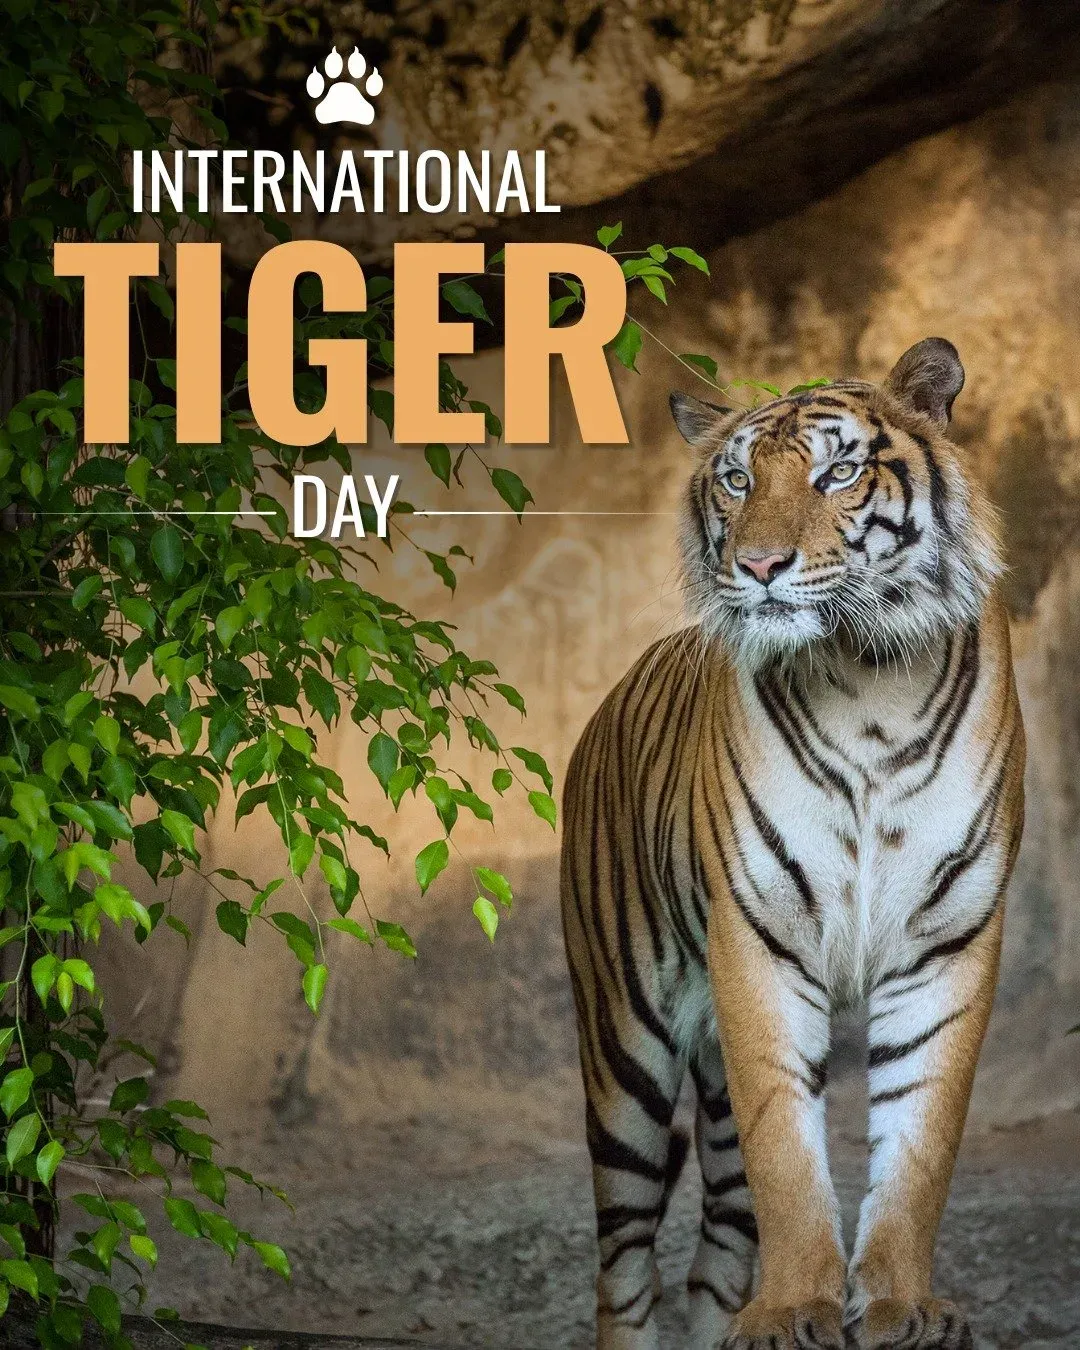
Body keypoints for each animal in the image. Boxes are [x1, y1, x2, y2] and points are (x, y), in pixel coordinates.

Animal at [560, 339, 1025, 1350]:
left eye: (838, 473)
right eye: (737, 479)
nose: (760, 563)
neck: (869, 681)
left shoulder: (949, 941)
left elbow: (921, 1143)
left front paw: (898, 1305)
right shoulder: (758, 941)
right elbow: (787, 1149)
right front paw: (795, 1307)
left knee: (714, 1250)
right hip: (624, 1049)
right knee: (623, 1265)